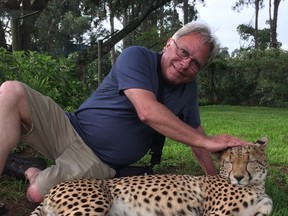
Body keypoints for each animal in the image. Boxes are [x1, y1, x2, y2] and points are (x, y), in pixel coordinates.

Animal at [29, 138, 272, 215]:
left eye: (249, 160)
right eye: (230, 161)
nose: (238, 177)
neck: (257, 185)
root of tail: (54, 187)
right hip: (95, 202)